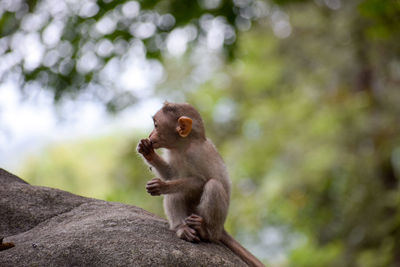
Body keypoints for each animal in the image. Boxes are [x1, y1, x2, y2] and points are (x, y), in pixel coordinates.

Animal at [138, 102, 266, 267]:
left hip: (212, 219)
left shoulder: (194, 154)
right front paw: (148, 151)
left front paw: (162, 186)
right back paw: (181, 228)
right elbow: (171, 174)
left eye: (156, 125)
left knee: (212, 186)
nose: (150, 135)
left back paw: (206, 231)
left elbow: (200, 181)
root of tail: (221, 228)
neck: (183, 146)